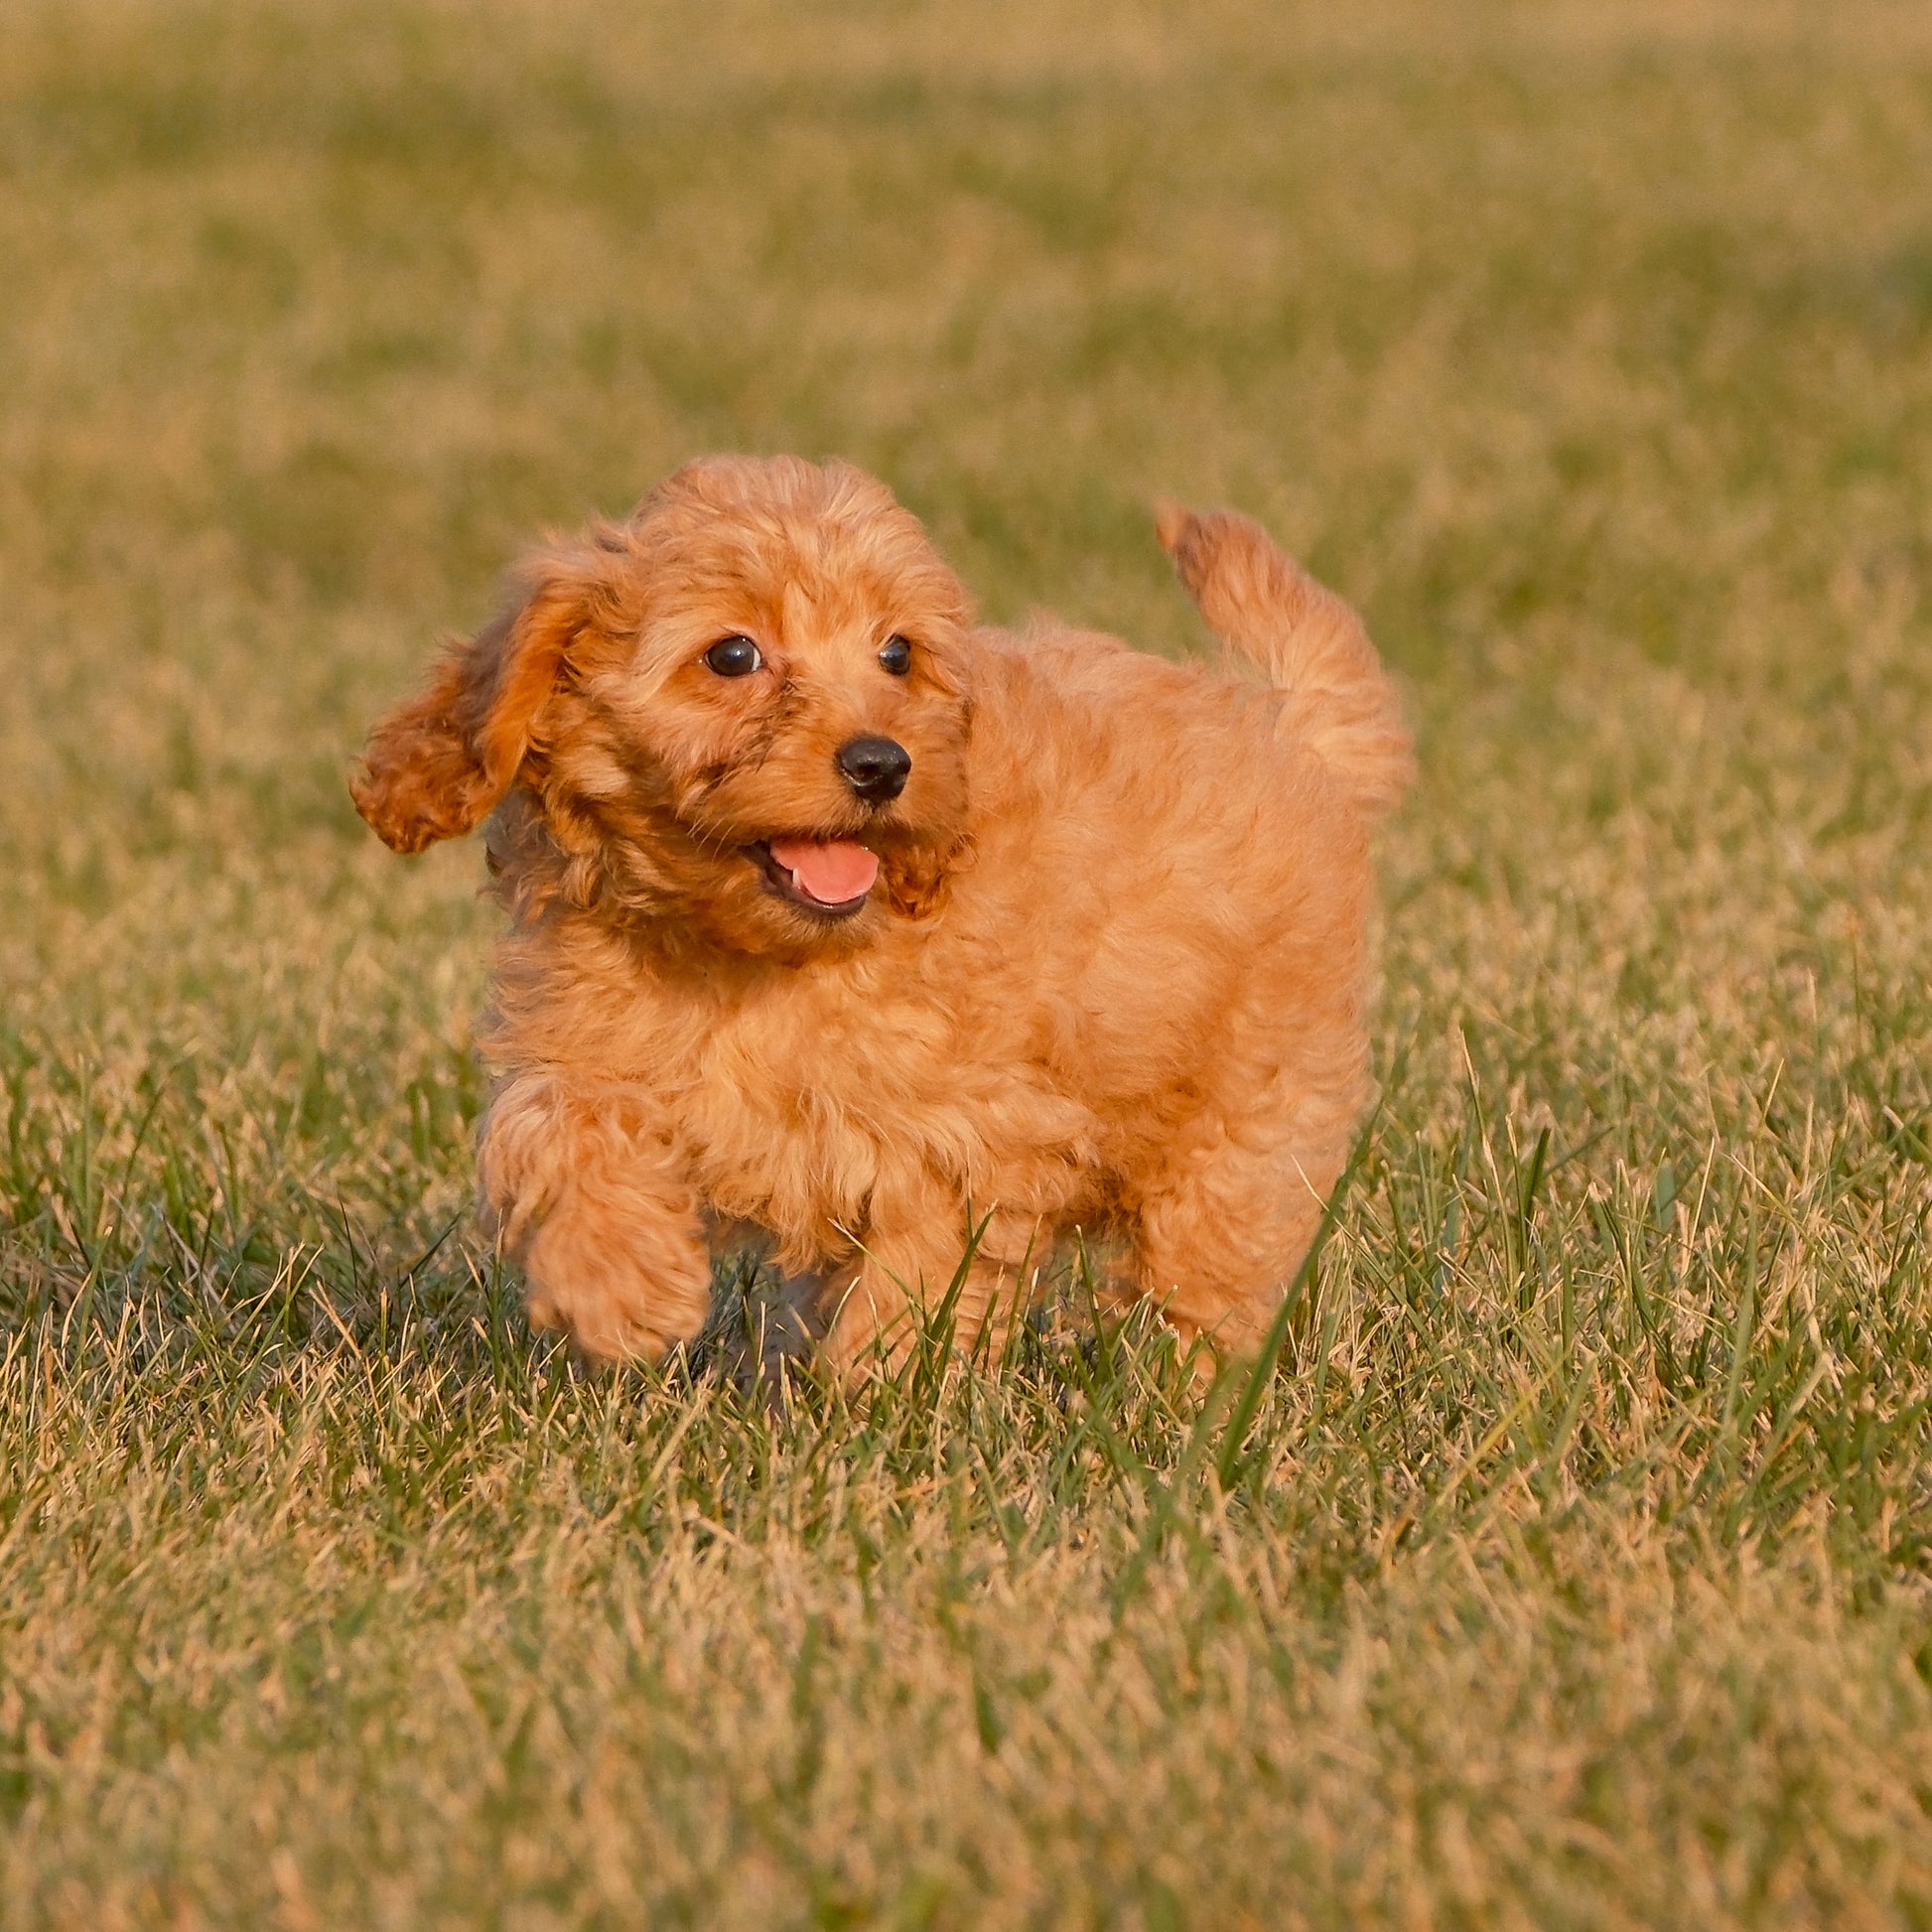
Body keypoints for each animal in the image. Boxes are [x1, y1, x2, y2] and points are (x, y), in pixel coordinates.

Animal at [351, 456, 1406, 1375]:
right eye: (732, 655)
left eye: (898, 653)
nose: (881, 763)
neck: (754, 956)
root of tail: (1291, 730)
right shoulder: (584, 1034)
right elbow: (553, 1126)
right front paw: (620, 1288)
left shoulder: (964, 1132)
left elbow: (920, 1273)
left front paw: (880, 1401)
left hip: (1251, 1108)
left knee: (1212, 1262)